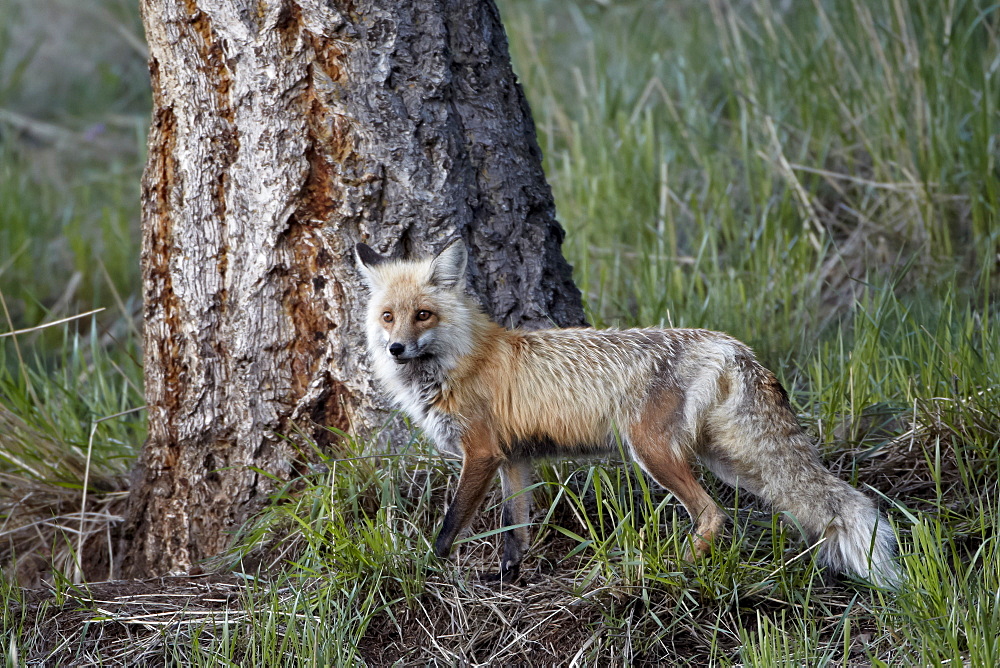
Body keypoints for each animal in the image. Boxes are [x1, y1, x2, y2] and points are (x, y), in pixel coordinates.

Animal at [356, 243, 904, 588]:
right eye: (388, 316)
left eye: (423, 314)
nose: (396, 347)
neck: (460, 359)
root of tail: (731, 346)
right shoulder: (514, 459)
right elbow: (516, 531)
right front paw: (507, 577)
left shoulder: (482, 452)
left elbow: (451, 524)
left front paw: (424, 567)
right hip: (733, 462)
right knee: (805, 500)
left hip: (653, 452)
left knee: (713, 514)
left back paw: (671, 569)